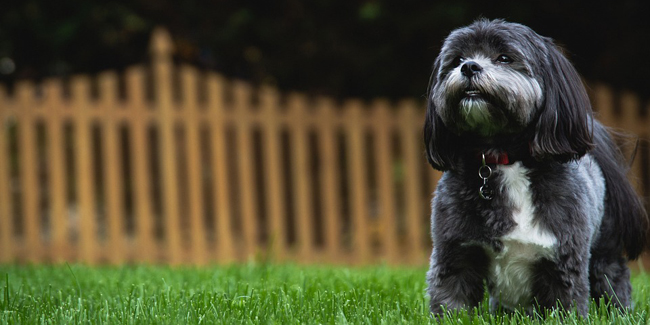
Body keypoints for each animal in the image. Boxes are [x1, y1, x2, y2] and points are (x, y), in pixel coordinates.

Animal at [422, 19, 644, 316]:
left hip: (604, 251)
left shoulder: (563, 261)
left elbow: (567, 306)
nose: (469, 66)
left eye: (504, 58)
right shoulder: (455, 254)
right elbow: (451, 302)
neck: (505, 158)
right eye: (456, 59)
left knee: (612, 277)